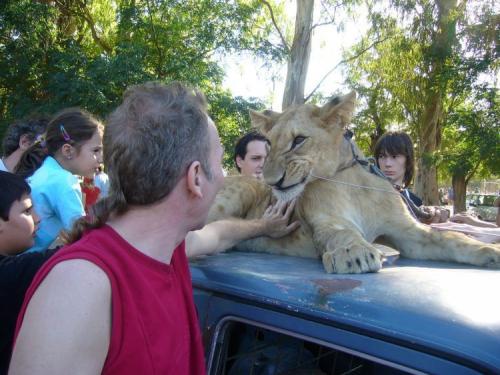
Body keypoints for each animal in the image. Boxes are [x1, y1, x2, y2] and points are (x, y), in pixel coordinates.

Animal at [209, 92, 500, 274]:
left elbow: (452, 238)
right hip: (239, 191)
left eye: (299, 140)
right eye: (269, 144)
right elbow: (342, 233)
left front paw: (490, 249)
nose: (271, 181)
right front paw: (352, 253)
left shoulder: (407, 232)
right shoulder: (326, 221)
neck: (353, 184)